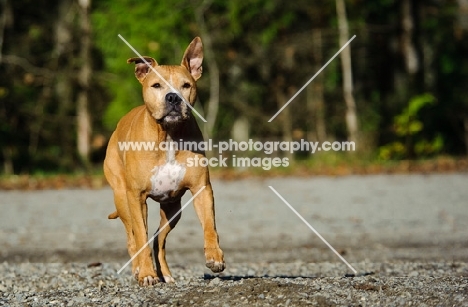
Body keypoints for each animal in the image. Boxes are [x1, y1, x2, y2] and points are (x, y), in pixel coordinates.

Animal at [104, 38, 225, 286]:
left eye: (186, 85)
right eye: (156, 85)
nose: (173, 97)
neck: (168, 135)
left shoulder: (202, 189)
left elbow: (210, 225)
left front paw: (214, 256)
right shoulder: (136, 197)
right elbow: (140, 235)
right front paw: (147, 274)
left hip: (172, 210)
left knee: (158, 240)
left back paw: (166, 274)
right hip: (122, 198)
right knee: (133, 238)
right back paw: (139, 270)